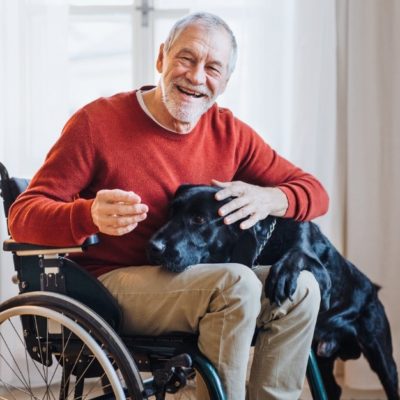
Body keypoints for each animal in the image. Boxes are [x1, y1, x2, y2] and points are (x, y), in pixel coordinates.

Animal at [148, 184, 398, 400]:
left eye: (199, 219)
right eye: (171, 212)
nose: (153, 246)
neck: (267, 245)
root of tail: (374, 290)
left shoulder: (322, 275)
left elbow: (297, 254)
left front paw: (281, 276)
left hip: (380, 354)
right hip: (321, 357)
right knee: (333, 389)